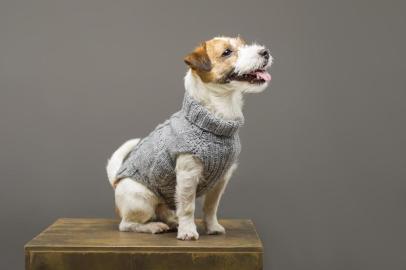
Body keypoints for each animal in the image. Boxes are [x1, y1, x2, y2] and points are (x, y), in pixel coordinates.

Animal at [107, 35, 272, 240]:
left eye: (243, 44)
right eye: (227, 52)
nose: (265, 52)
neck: (216, 118)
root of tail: (116, 181)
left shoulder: (221, 179)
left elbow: (211, 207)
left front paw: (212, 226)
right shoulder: (187, 175)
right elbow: (187, 207)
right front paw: (188, 231)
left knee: (163, 212)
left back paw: (171, 221)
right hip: (142, 199)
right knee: (127, 224)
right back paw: (153, 226)